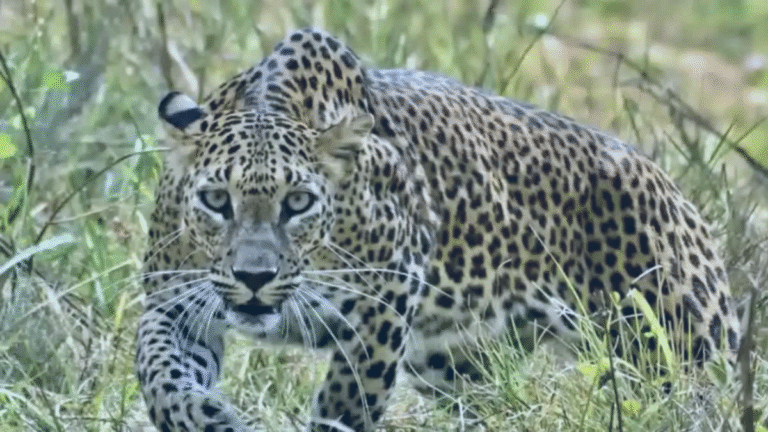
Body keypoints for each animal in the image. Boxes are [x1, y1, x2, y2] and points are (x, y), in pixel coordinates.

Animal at [136, 28, 741, 432]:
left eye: (298, 203)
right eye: (217, 200)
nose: (254, 278)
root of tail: (675, 190)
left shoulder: (383, 303)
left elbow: (346, 402)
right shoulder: (175, 302)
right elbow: (160, 371)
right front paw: (203, 416)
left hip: (679, 355)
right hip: (455, 363)